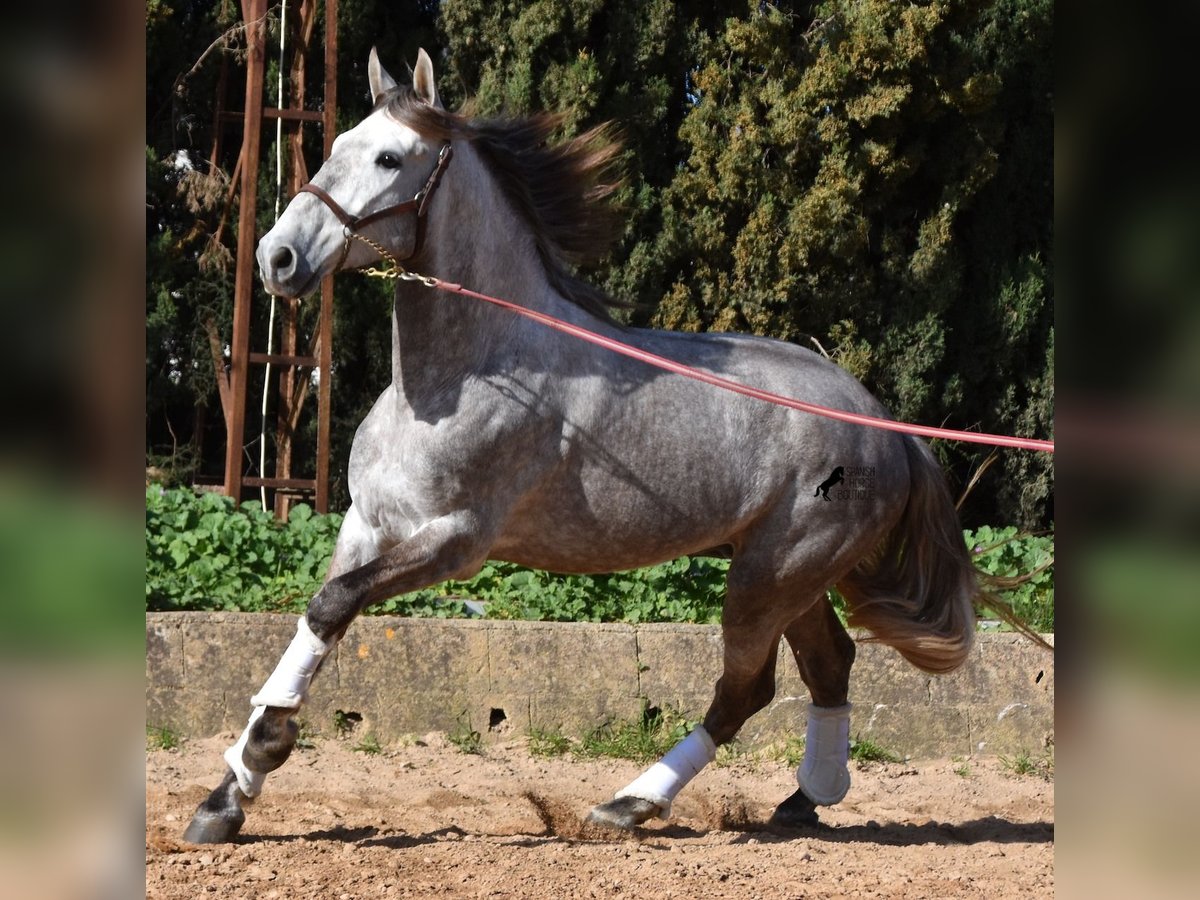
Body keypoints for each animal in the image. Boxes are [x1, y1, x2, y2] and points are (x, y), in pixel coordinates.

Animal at [184, 45, 1022, 844]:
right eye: (334, 145)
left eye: (390, 158)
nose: (277, 258)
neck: (463, 375)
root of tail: (888, 427)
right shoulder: (368, 526)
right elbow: (317, 618)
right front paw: (226, 797)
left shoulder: (457, 542)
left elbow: (330, 606)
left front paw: (256, 759)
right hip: (789, 573)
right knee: (829, 665)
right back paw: (804, 800)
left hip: (773, 573)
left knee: (747, 690)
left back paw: (630, 804)